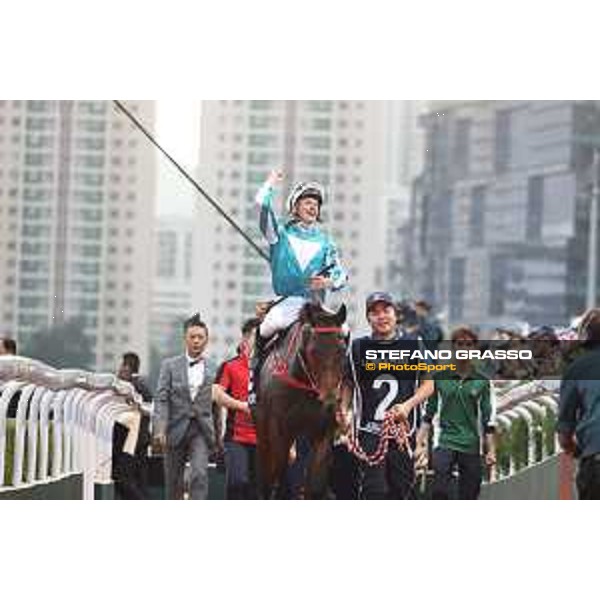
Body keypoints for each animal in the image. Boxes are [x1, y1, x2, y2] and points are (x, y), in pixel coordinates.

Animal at [255, 302, 350, 500]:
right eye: (313, 352)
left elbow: (315, 485)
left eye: (342, 351)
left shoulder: (323, 430)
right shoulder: (278, 428)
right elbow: (279, 473)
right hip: (263, 427)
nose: (329, 401)